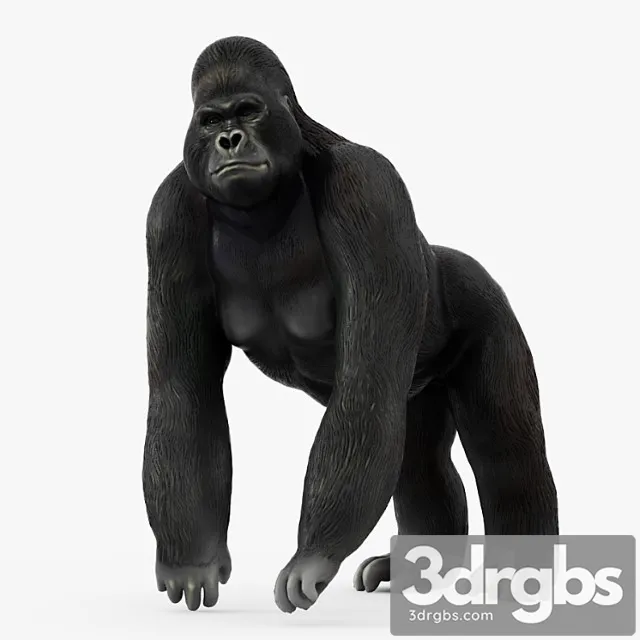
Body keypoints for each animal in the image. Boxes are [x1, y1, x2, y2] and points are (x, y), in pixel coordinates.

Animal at [143, 35, 558, 613]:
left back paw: (525, 572)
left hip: (485, 301)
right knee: (416, 461)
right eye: (209, 121)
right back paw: (423, 568)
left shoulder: (368, 188)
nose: (228, 139)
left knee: (507, 453)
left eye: (247, 111)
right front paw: (190, 558)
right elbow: (183, 395)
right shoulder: (169, 216)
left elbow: (367, 381)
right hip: (421, 389)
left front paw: (311, 558)